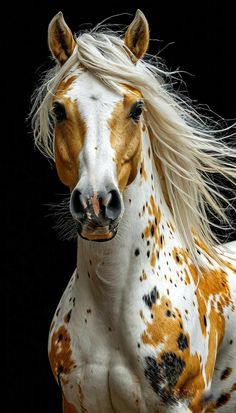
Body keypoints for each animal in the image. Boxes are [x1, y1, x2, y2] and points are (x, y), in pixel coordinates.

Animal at [31, 9, 236, 412]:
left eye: (137, 108)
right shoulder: (74, 402)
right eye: (59, 109)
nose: (96, 202)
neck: (112, 309)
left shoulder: (180, 403)